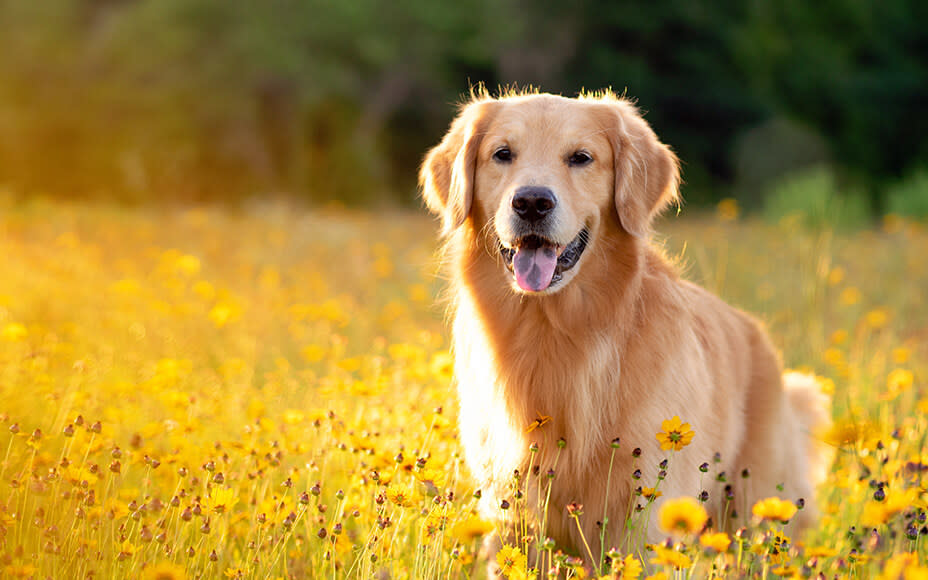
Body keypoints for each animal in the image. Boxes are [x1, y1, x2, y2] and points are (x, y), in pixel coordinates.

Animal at [416, 90, 832, 568]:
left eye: (581, 157)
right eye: (502, 154)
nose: (532, 202)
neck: (555, 333)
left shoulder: (645, 513)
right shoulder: (511, 513)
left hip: (757, 509)